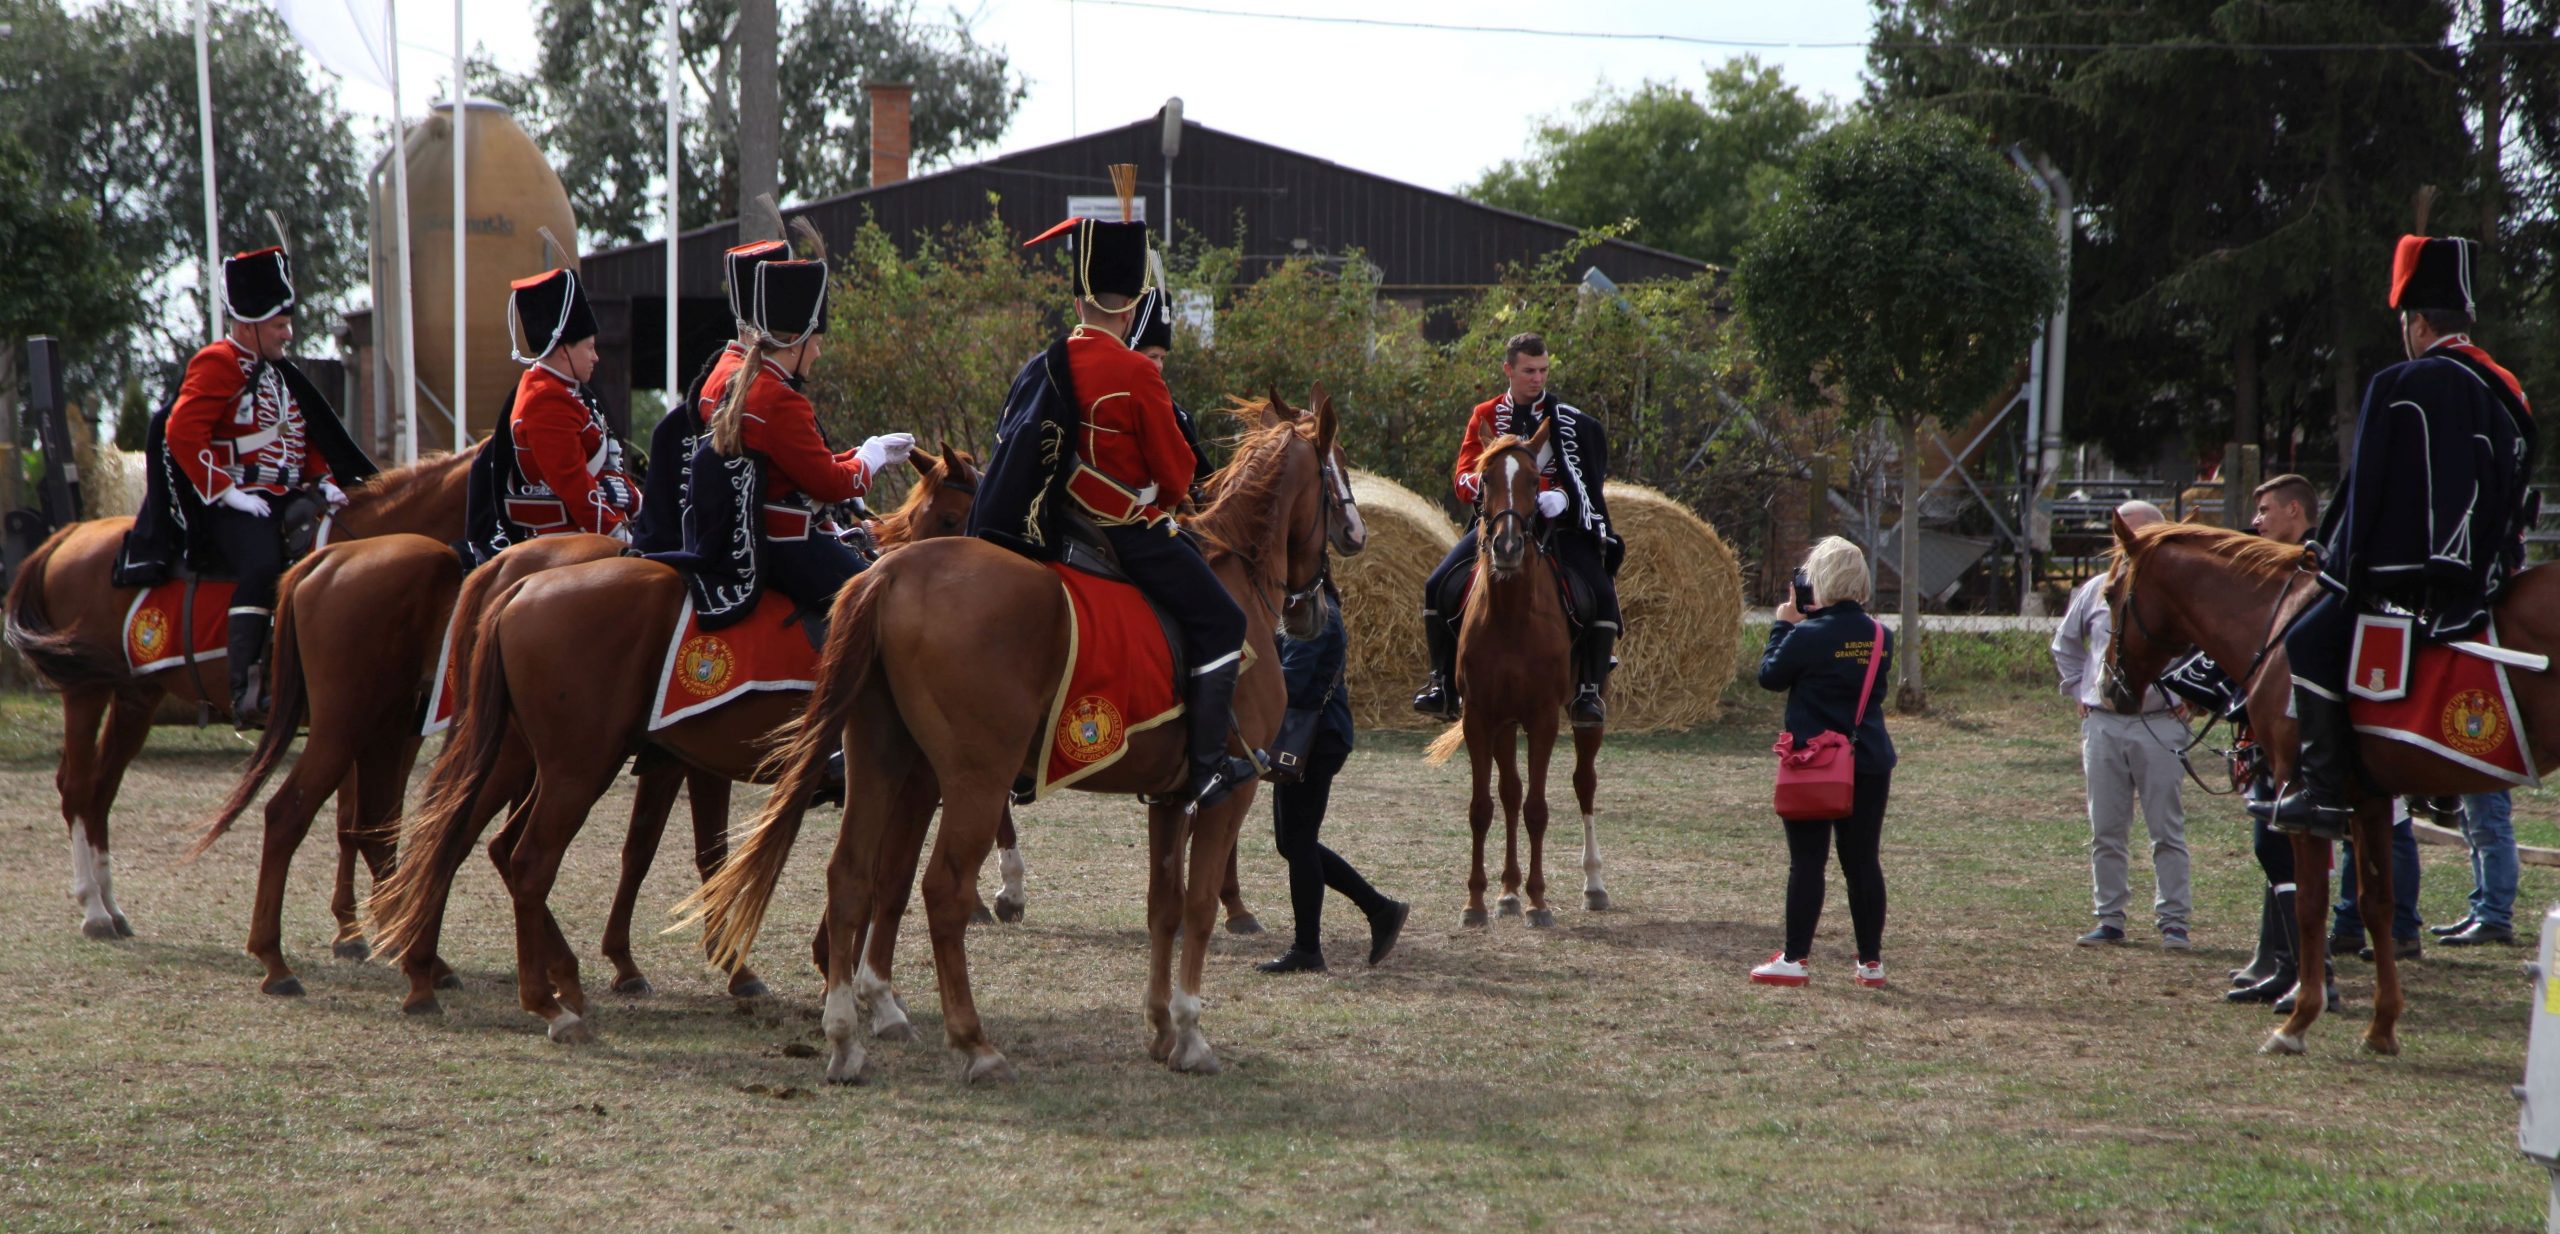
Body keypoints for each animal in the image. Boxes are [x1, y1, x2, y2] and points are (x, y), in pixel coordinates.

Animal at [2, 448, 473, 942]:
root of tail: (71, 534)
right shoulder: (353, 721)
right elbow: (355, 822)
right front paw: (356, 929)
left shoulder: (392, 729)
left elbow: (373, 822)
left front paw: (366, 924)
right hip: (86, 690)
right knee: (76, 787)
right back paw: (93, 908)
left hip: (135, 698)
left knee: (100, 790)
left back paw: (111, 906)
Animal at [691, 399, 1341, 1085]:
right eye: (1336, 486)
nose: (1314, 611)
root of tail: (890, 573)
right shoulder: (1227, 795)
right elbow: (1198, 908)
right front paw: (1190, 1035)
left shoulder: (1168, 797)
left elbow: (1163, 906)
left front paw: (1162, 1029)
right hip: (977, 775)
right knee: (942, 889)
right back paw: (973, 1042)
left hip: (882, 759)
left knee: (851, 876)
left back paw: (845, 1038)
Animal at [1423, 424, 1597, 926]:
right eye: (1483, 481)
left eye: (1536, 482)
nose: (1506, 547)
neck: (1511, 616)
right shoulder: (1480, 717)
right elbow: (1484, 807)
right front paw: (1478, 901)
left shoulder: (1543, 719)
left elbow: (1538, 808)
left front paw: (1539, 901)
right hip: (1503, 724)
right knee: (1510, 793)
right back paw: (1507, 892)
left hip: (1585, 717)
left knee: (1584, 785)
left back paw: (1593, 885)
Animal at [2099, 514, 2560, 1054]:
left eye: (2109, 593)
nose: (2109, 687)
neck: (2275, 625)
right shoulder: (2369, 798)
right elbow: (2375, 903)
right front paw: (2382, 1026)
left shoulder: (2303, 801)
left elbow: (2310, 903)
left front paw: (2298, 1020)